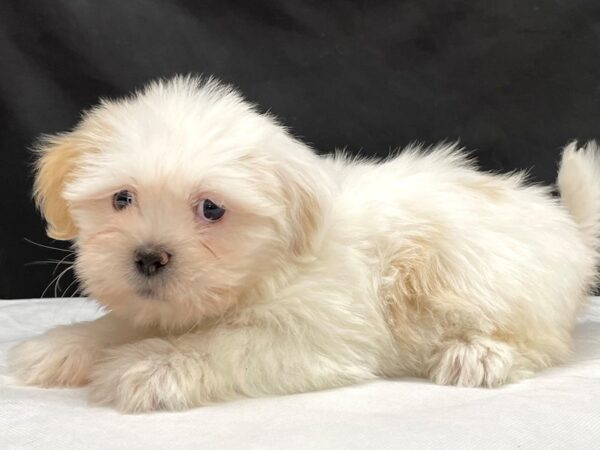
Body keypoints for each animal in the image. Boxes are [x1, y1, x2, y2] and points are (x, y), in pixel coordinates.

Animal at [9, 76, 600, 412]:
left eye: (212, 208)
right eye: (122, 198)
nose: (148, 257)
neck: (266, 265)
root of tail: (566, 225)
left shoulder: (312, 333)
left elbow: (223, 346)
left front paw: (151, 366)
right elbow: (126, 321)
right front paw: (67, 346)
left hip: (470, 271)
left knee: (539, 338)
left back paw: (478, 355)